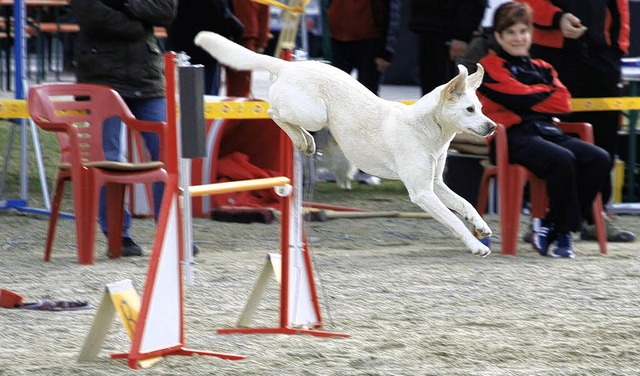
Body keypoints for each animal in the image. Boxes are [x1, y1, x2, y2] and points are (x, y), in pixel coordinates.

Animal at [198, 32, 498, 256]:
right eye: (470, 110)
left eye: (482, 108)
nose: (493, 127)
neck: (428, 129)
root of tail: (289, 65)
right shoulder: (422, 193)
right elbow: (453, 220)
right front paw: (475, 245)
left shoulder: (436, 184)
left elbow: (465, 205)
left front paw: (481, 226)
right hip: (315, 114)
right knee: (273, 112)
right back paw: (303, 140)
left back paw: (306, 141)